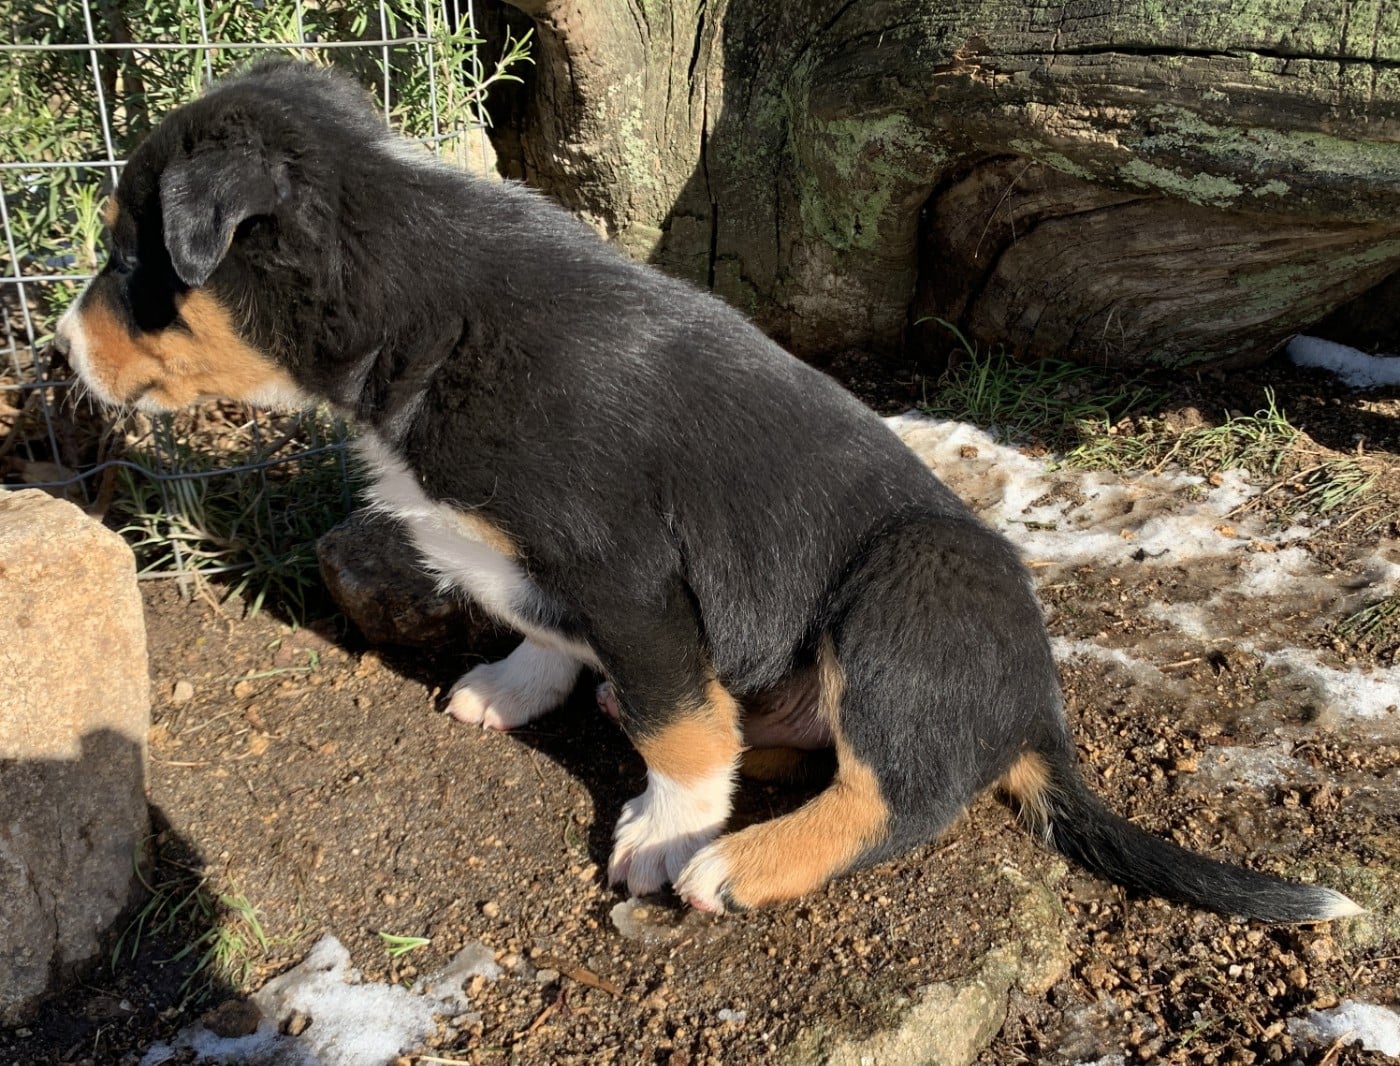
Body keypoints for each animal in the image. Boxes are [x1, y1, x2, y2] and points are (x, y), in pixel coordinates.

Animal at [56, 60, 1360, 921]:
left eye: (127, 255)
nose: (59, 349)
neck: (416, 310)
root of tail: (1032, 713)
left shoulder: (633, 575)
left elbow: (677, 726)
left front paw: (663, 828)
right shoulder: (554, 576)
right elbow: (543, 629)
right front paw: (513, 686)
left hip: (910, 581)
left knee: (899, 791)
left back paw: (738, 860)